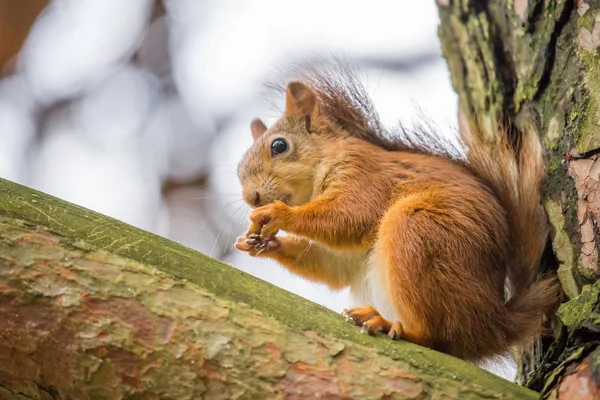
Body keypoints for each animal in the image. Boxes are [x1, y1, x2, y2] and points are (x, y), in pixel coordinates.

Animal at [232, 63, 560, 362]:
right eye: (237, 171)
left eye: (279, 146)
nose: (252, 198)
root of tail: (494, 324)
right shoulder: (346, 256)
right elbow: (334, 265)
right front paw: (262, 243)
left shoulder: (363, 173)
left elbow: (351, 216)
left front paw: (277, 214)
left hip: (418, 231)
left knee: (435, 338)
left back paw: (390, 324)